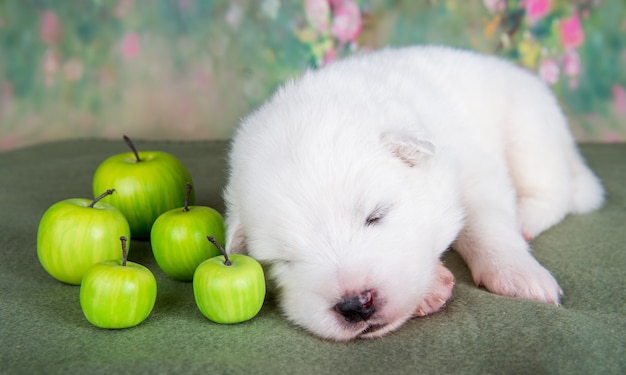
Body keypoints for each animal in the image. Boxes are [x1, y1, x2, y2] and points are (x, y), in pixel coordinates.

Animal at [222, 45, 604, 342]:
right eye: (284, 260)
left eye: (376, 216)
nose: (355, 304)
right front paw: (431, 285)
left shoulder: (474, 169)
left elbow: (487, 223)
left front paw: (518, 274)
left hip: (530, 131)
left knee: (556, 192)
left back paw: (526, 219)